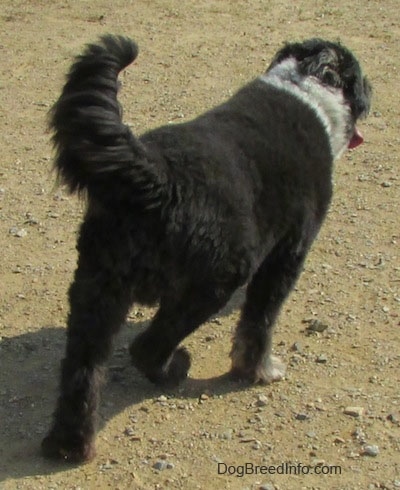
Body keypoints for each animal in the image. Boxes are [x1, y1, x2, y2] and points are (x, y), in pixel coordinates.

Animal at [42, 36, 370, 462]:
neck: (308, 88)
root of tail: (155, 176)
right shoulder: (286, 257)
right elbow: (259, 324)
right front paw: (259, 371)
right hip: (211, 284)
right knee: (147, 347)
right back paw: (174, 371)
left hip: (97, 289)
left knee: (81, 372)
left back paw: (68, 444)